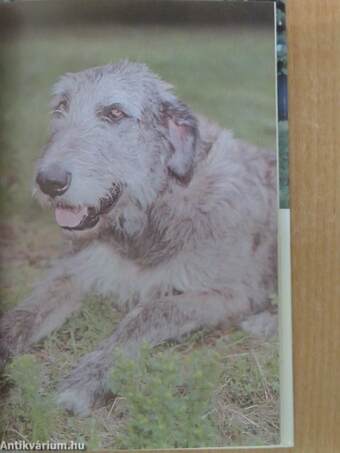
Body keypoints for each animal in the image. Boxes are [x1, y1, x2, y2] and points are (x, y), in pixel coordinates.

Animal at [0, 61, 276, 416]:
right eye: (61, 106)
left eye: (115, 113)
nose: (49, 181)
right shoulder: (76, 270)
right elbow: (27, 310)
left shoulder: (232, 293)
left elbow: (149, 313)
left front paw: (88, 378)